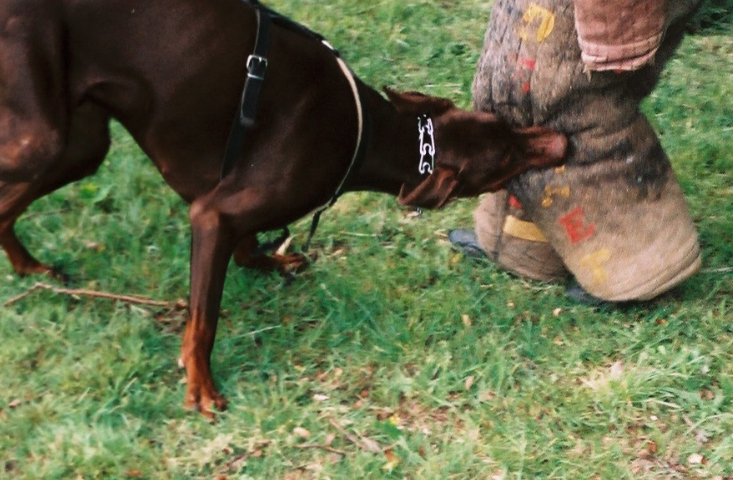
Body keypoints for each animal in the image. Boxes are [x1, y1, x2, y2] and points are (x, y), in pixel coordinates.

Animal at [0, 0, 568, 416]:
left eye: (505, 126)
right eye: (503, 159)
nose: (562, 142)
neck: (366, 133)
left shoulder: (224, 206)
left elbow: (250, 250)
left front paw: (275, 260)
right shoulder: (213, 215)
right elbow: (204, 319)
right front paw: (201, 385)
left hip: (80, 144)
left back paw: (30, 269)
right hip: (40, 138)